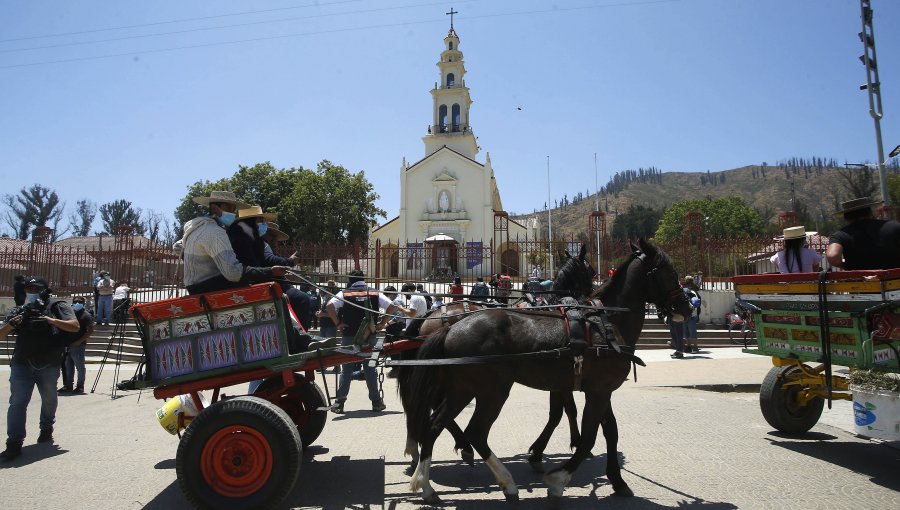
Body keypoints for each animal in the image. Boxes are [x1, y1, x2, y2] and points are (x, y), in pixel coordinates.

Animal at [400, 238, 688, 502]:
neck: (607, 321)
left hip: (462, 389)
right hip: (492, 391)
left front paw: (617, 481)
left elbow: (607, 431)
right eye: (670, 272)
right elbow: (587, 435)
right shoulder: (596, 391)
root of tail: (449, 328)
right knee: (475, 432)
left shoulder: (594, 389)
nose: (685, 307)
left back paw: (426, 484)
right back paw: (505, 481)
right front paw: (558, 478)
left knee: (435, 424)